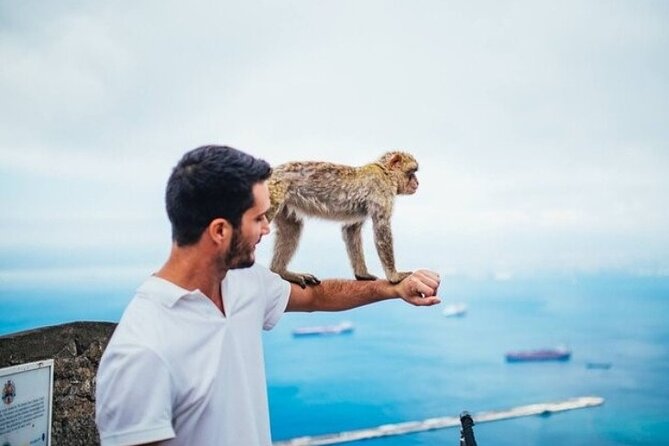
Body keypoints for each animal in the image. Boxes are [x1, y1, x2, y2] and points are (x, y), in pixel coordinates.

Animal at [267, 151, 419, 288]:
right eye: (412, 172)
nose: (417, 182)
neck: (385, 172)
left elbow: (351, 229)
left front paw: (362, 274)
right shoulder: (382, 190)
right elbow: (381, 228)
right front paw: (394, 276)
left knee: (292, 227)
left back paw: (280, 271)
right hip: (274, 191)